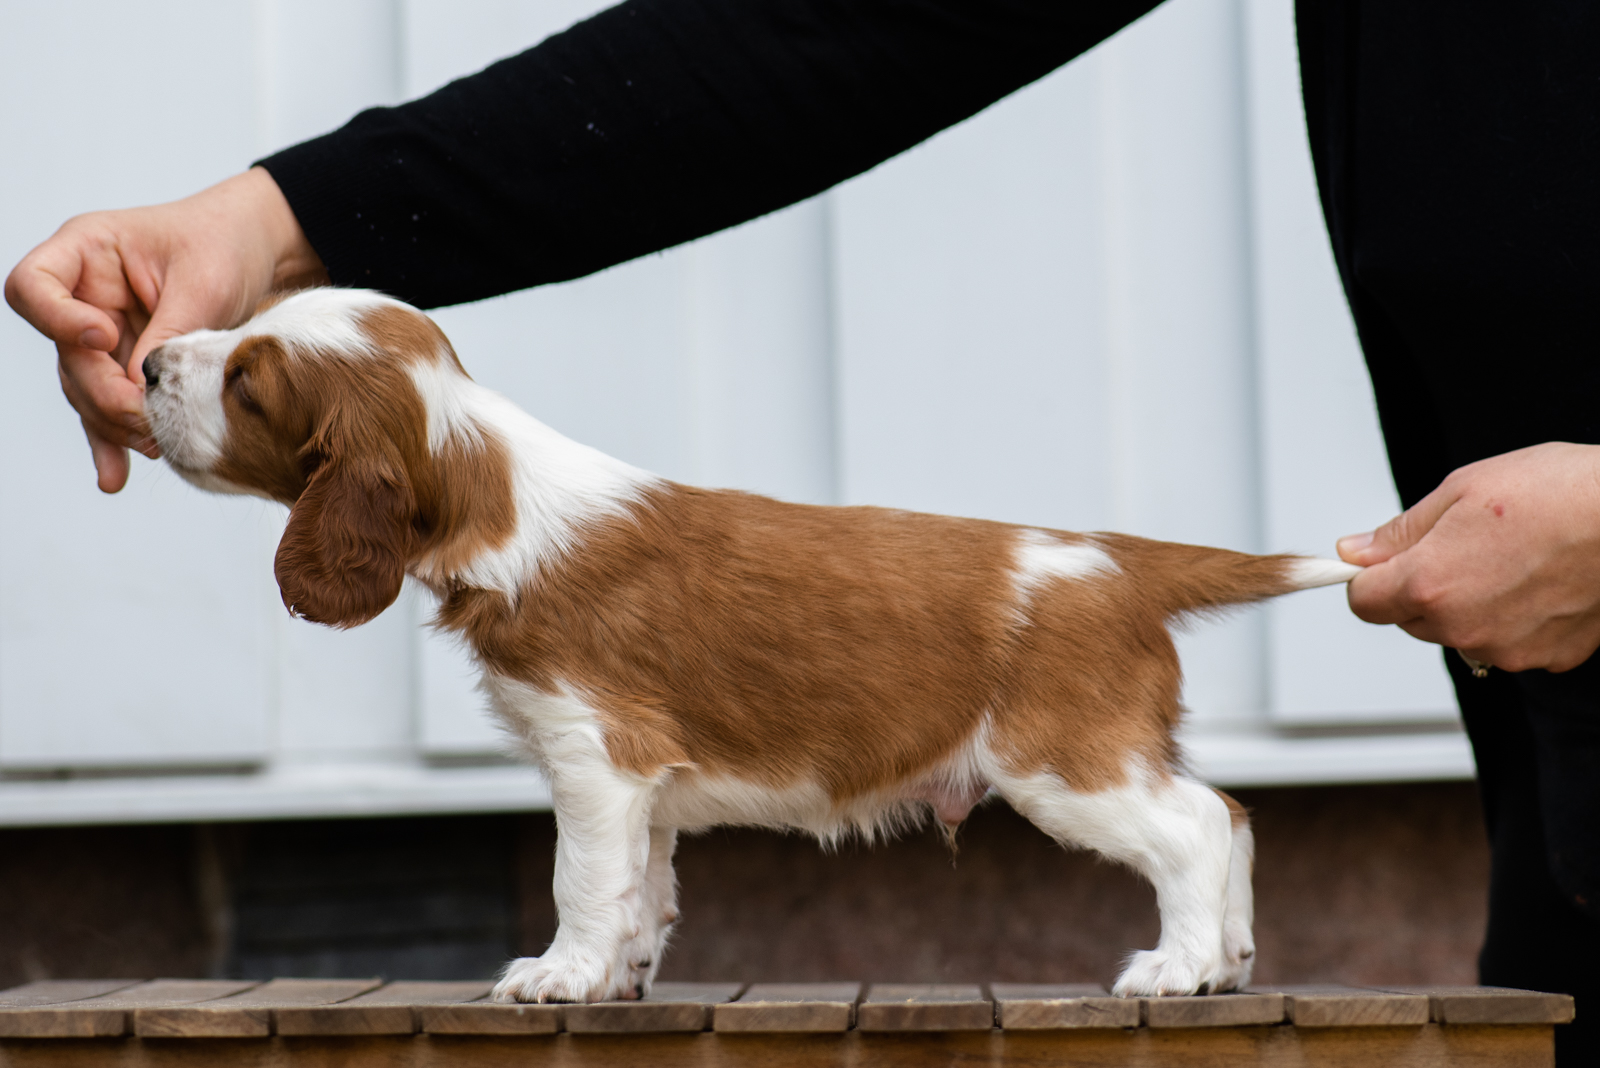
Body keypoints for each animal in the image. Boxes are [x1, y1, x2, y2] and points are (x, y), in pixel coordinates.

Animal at [144, 286, 1356, 1004]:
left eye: (247, 382)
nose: (152, 362)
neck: (501, 492)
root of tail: (1114, 559)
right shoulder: (636, 784)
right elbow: (641, 881)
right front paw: (621, 972)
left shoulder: (596, 755)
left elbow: (580, 877)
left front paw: (559, 974)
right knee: (1229, 813)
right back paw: (1230, 960)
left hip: (1064, 759)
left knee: (1193, 826)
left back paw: (1178, 967)